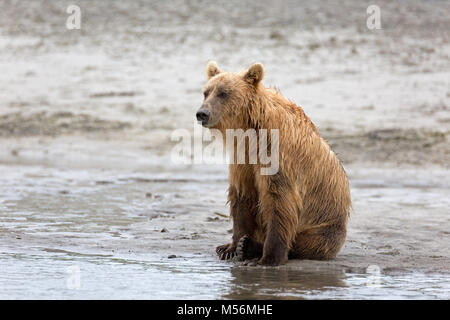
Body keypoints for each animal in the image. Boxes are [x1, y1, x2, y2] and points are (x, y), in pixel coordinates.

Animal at [196, 61, 352, 266]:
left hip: (324, 224)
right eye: (206, 92)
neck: (250, 131)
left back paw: (252, 246)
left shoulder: (279, 156)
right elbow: (242, 196)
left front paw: (267, 258)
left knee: (308, 242)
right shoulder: (243, 159)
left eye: (223, 93)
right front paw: (232, 248)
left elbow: (280, 201)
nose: (202, 113)